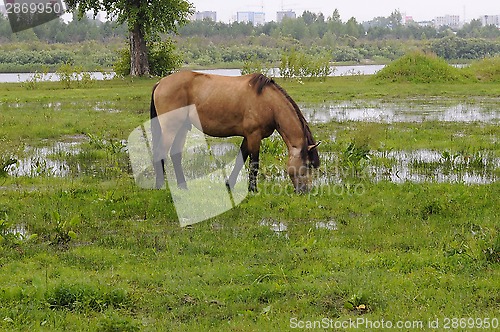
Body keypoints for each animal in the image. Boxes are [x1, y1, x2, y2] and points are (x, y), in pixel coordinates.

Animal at [149, 71, 320, 193]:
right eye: (307, 165)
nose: (305, 191)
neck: (269, 103)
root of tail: (160, 83)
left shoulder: (248, 137)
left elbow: (240, 159)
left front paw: (229, 184)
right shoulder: (254, 136)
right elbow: (254, 163)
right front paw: (253, 190)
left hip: (182, 128)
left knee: (175, 155)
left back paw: (183, 186)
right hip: (170, 128)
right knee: (160, 153)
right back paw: (159, 186)